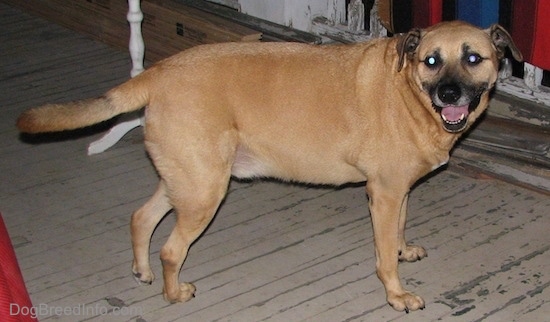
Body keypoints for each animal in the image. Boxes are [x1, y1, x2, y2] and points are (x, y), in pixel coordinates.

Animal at [16, 20, 520, 312]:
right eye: (432, 61)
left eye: (473, 58)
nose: (450, 94)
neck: (410, 90)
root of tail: (156, 72)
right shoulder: (384, 193)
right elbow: (382, 255)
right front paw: (395, 293)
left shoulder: (400, 193)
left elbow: (396, 234)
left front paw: (402, 249)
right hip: (205, 192)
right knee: (171, 251)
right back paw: (174, 292)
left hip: (188, 180)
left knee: (141, 218)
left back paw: (141, 271)